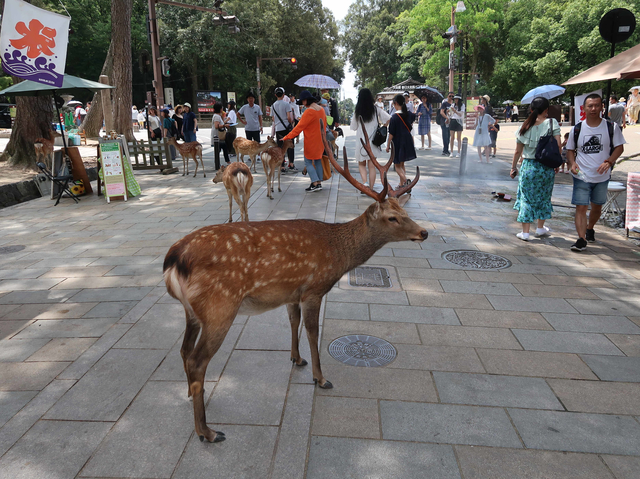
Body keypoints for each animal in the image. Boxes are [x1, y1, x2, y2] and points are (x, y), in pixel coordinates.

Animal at [162, 119, 428, 442]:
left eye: (403, 210)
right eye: (392, 217)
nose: (424, 232)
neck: (337, 253)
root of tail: (173, 259)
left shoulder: (291, 292)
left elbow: (293, 322)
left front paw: (296, 359)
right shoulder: (314, 288)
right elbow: (313, 332)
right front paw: (320, 377)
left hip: (192, 311)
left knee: (184, 350)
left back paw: (190, 395)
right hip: (219, 308)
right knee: (197, 360)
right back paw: (207, 431)